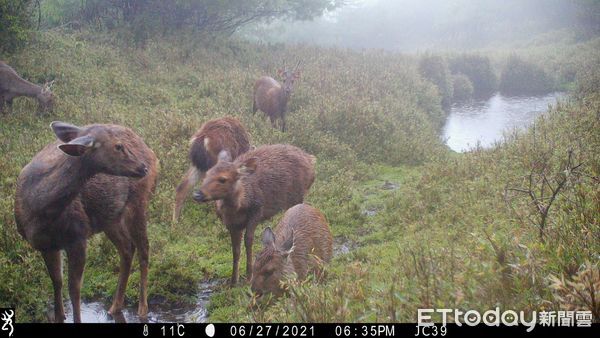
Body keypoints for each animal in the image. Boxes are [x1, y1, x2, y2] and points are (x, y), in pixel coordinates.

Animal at [14, 121, 158, 322]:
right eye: (118, 146)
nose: (143, 167)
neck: (40, 212)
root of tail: (152, 152)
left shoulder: (78, 236)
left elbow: (74, 289)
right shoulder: (45, 245)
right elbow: (57, 281)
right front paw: (59, 316)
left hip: (138, 202)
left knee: (144, 249)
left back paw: (142, 309)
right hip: (110, 218)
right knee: (127, 249)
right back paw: (115, 307)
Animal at [192, 144, 316, 284]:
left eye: (223, 179)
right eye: (207, 174)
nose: (197, 194)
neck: (240, 205)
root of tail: (310, 159)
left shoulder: (257, 211)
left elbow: (248, 240)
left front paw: (248, 276)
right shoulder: (231, 224)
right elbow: (235, 249)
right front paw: (233, 281)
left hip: (298, 196)